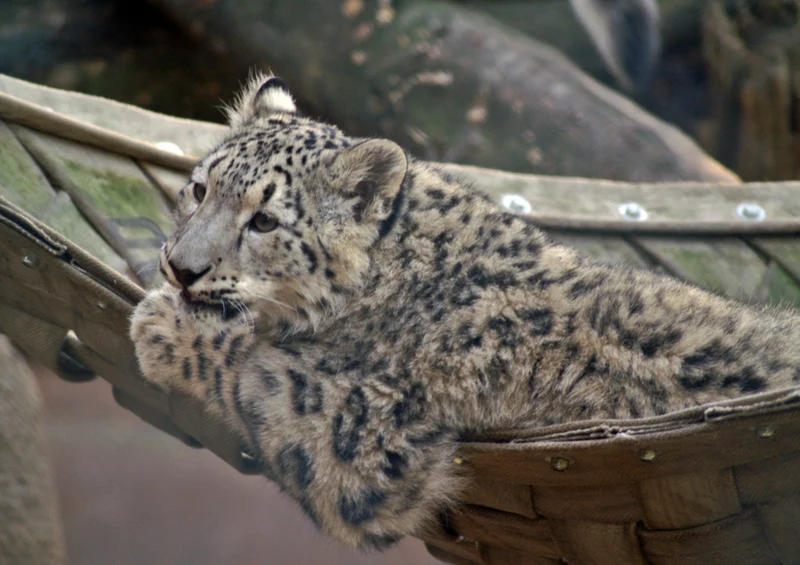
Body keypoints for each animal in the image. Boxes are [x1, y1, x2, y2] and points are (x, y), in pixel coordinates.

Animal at [131, 73, 800, 550]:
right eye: (200, 188)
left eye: (265, 220)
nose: (181, 268)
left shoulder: (357, 431)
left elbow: (250, 369)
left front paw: (162, 325)